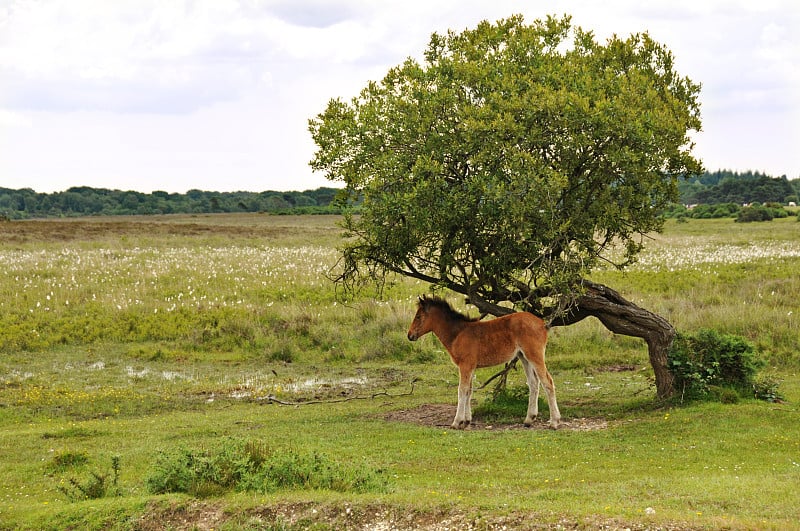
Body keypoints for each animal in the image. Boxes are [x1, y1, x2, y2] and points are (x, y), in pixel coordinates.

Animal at [410, 298, 560, 430]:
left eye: (418, 316)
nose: (409, 335)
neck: (457, 333)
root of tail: (542, 324)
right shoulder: (470, 367)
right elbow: (469, 390)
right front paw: (466, 421)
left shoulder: (465, 365)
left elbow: (462, 390)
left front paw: (456, 422)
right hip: (523, 357)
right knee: (534, 383)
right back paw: (529, 420)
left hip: (534, 355)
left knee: (547, 382)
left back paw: (554, 422)